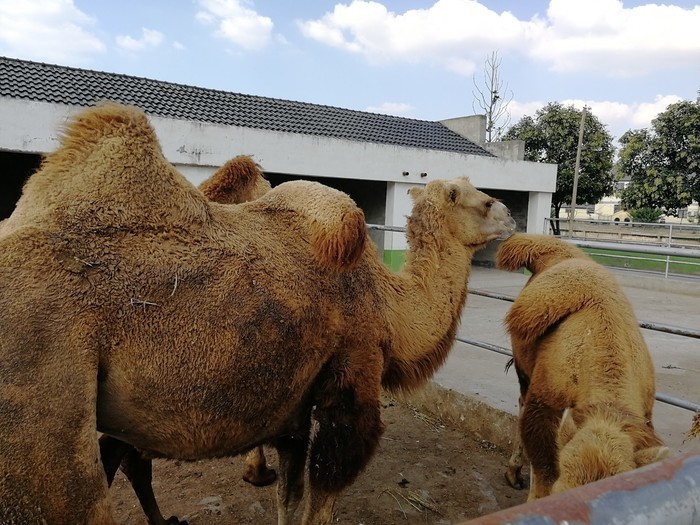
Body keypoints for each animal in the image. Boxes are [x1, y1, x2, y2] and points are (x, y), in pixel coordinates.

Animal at [0, 102, 516, 524]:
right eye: (486, 200)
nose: (512, 218)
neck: (390, 306)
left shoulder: (295, 398)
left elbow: (288, 496)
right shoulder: (355, 367)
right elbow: (322, 495)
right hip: (43, 396)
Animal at [494, 233, 668, 500]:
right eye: (561, 492)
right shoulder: (543, 407)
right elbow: (543, 472)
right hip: (524, 373)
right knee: (521, 403)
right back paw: (514, 472)